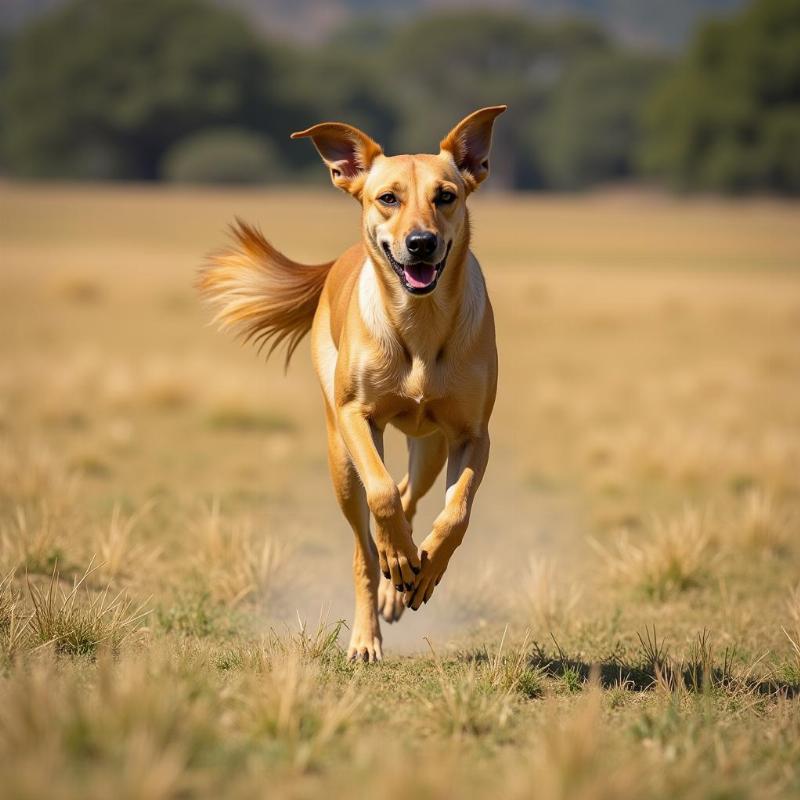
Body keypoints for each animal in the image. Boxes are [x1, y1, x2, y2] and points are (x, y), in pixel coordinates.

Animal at [197, 106, 504, 664]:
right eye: (388, 198)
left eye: (445, 195)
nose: (421, 243)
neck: (419, 324)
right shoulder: (355, 417)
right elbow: (380, 494)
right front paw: (398, 559)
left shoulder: (473, 434)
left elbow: (455, 513)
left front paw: (425, 568)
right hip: (340, 457)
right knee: (365, 542)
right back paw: (370, 625)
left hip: (430, 447)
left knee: (410, 495)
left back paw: (402, 578)